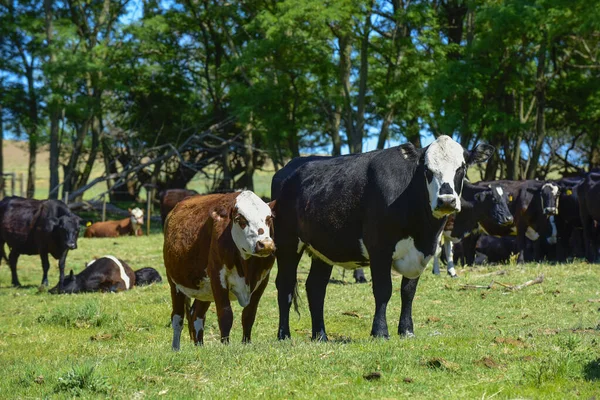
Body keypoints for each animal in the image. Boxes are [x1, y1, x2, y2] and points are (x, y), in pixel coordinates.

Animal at [164, 191, 276, 350]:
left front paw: (246, 343)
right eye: (239, 219)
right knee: (177, 318)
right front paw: (225, 345)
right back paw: (176, 348)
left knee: (197, 315)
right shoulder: (218, 278)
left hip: (205, 290)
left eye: (269, 218)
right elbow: (225, 314)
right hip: (175, 284)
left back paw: (199, 347)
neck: (247, 267)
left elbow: (249, 315)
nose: (265, 244)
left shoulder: (263, 281)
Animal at [274, 135, 494, 340]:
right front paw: (380, 332)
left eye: (461, 168)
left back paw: (320, 335)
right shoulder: (379, 248)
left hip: (324, 248)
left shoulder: (419, 253)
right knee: (285, 285)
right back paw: (284, 335)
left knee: (316, 287)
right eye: (427, 170)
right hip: (286, 242)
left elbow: (408, 291)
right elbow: (383, 289)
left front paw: (407, 330)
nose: (446, 200)